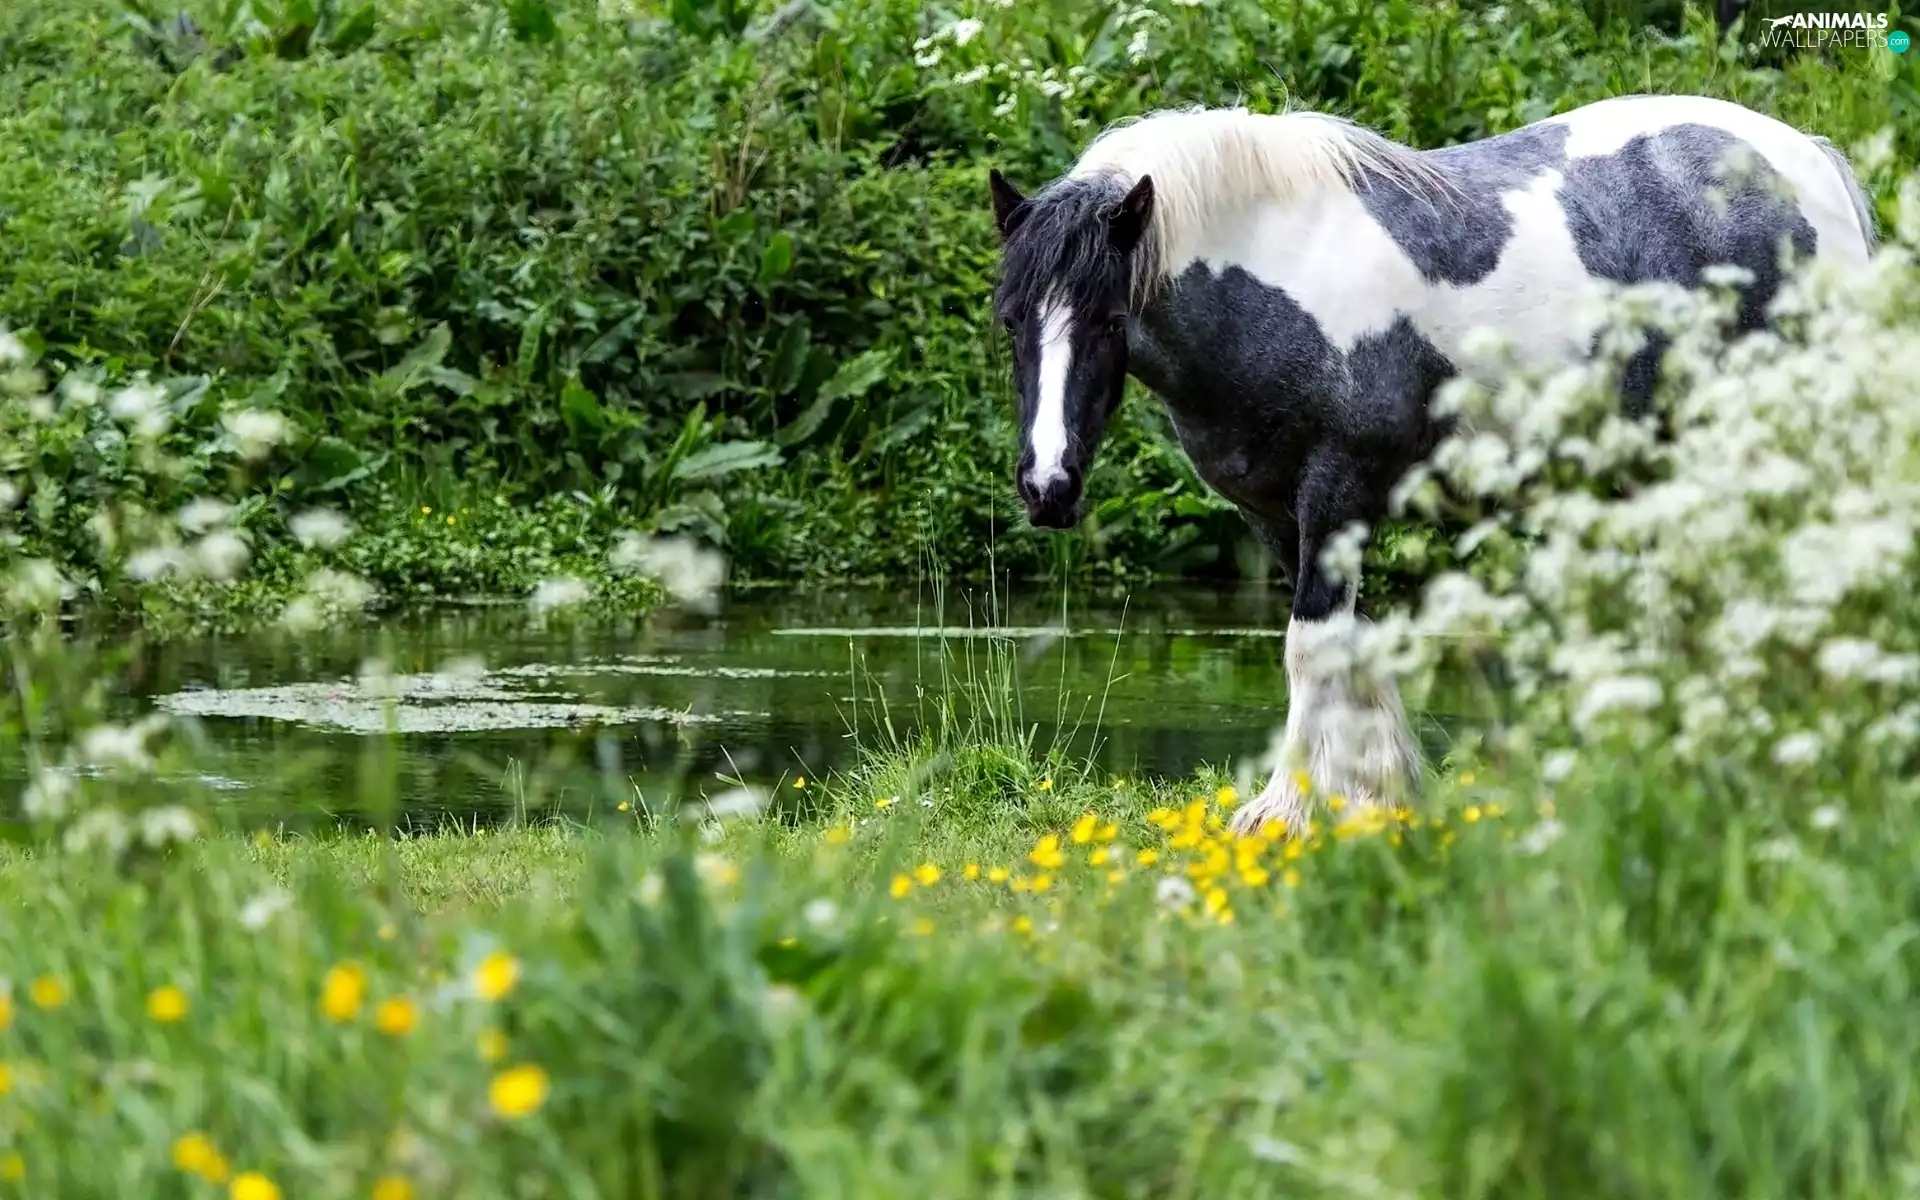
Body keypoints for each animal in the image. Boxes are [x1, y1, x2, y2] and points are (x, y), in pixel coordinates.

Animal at [985, 93, 1879, 837]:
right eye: (1011, 319)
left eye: (1109, 320)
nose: (1047, 487)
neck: (1277, 272)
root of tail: (1807, 161)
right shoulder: (1275, 516)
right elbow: (1351, 647)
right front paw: (1379, 795)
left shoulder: (1336, 494)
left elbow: (1311, 647)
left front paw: (1292, 811)